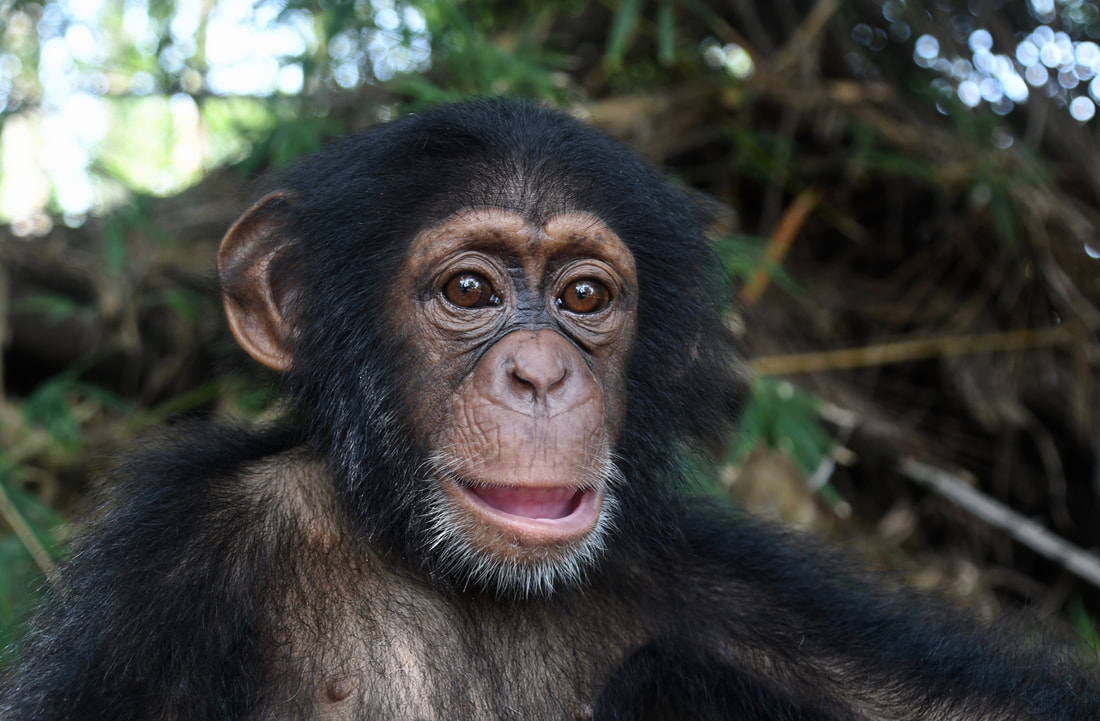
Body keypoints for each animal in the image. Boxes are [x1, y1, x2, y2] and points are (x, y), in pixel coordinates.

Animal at [2, 98, 1097, 720]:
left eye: (582, 296)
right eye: (470, 290)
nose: (539, 374)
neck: (451, 573)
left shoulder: (734, 592)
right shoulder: (176, 562)